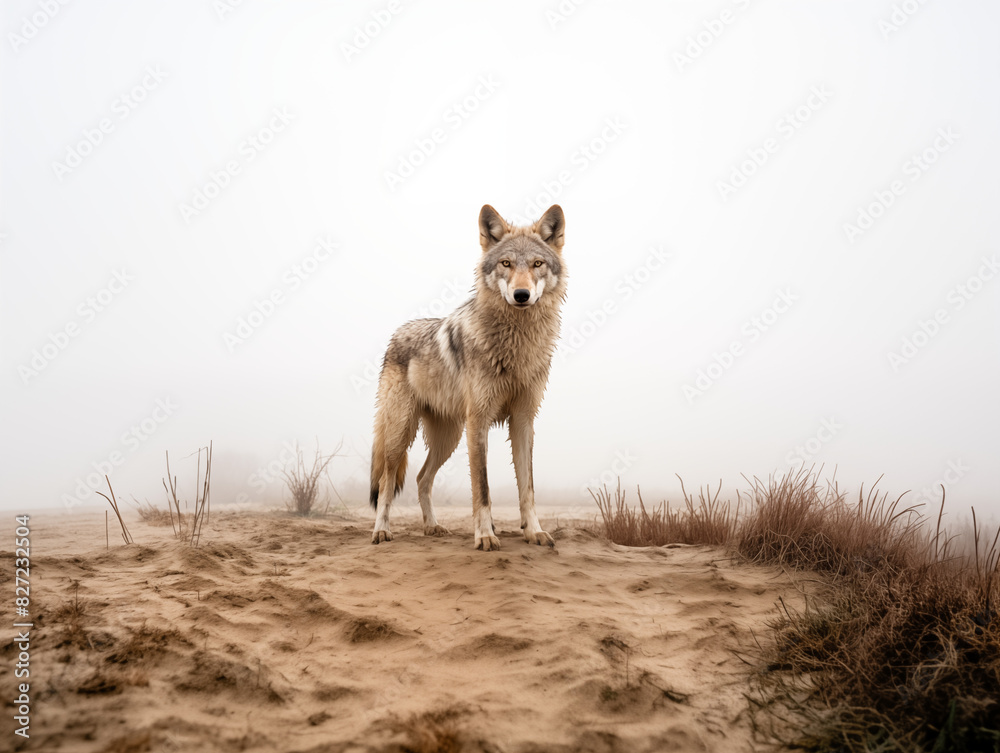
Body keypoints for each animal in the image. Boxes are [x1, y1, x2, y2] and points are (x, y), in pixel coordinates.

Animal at [369, 204, 566, 551]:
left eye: (537, 264)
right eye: (506, 263)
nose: (521, 294)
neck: (516, 344)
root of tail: (398, 332)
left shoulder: (523, 420)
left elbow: (527, 488)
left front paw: (534, 532)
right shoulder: (479, 421)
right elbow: (482, 489)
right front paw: (485, 535)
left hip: (448, 438)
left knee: (421, 478)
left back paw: (432, 527)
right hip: (400, 434)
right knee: (386, 481)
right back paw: (381, 531)